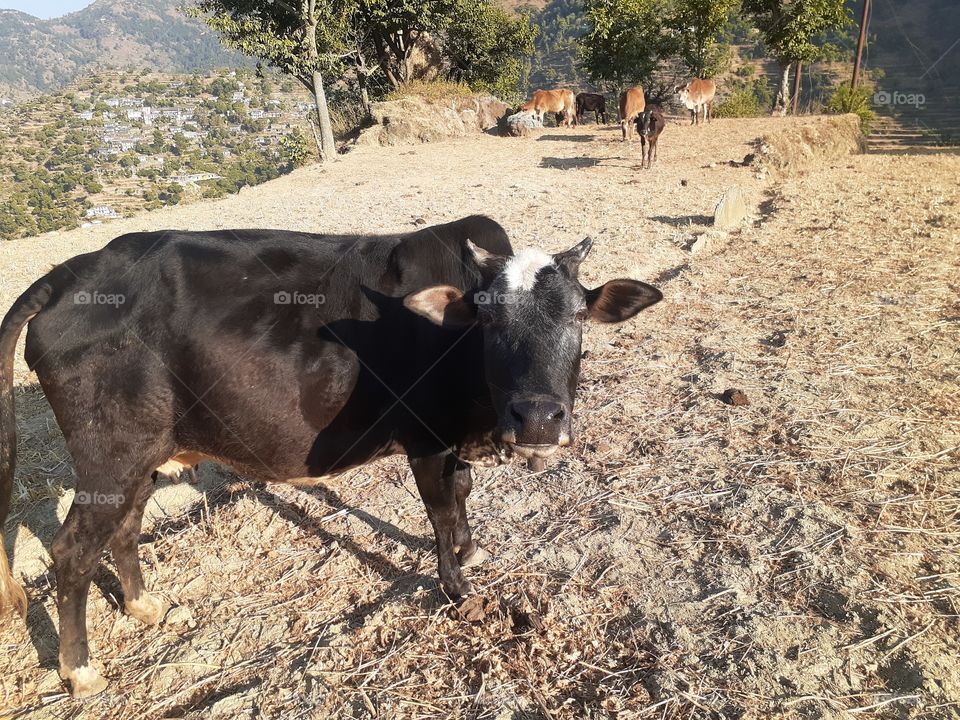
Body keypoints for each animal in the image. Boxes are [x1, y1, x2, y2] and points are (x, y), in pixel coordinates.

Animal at [0, 216, 662, 697]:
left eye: (578, 315)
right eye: (488, 319)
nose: (539, 419)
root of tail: (71, 274)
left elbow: (463, 495)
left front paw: (471, 548)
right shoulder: (426, 442)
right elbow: (442, 511)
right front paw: (458, 588)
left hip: (141, 455)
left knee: (125, 526)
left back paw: (146, 606)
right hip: (109, 455)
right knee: (73, 550)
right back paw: (80, 671)